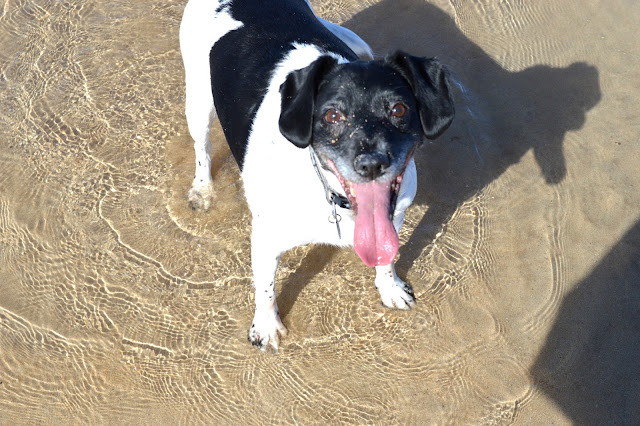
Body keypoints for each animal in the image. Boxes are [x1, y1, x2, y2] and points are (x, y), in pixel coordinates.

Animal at [178, 0, 452, 352]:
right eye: (332, 115)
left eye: (399, 110)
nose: (372, 164)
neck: (334, 197)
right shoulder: (265, 238)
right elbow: (265, 287)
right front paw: (266, 326)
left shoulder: (395, 215)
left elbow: (386, 258)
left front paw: (389, 288)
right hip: (198, 101)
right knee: (203, 147)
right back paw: (203, 190)